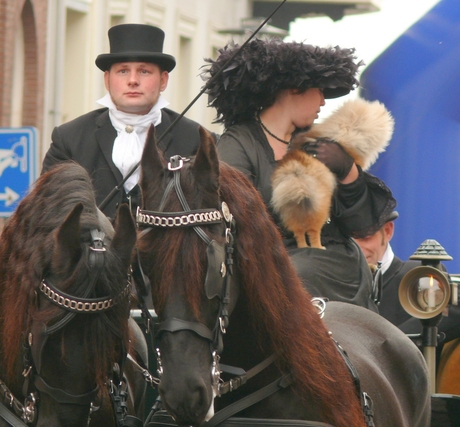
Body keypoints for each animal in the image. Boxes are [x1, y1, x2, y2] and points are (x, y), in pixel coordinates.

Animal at [272, 98, 394, 249]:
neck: (348, 126)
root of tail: (296, 173)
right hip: (320, 207)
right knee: (312, 231)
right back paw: (319, 247)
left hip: (290, 211)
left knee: (298, 232)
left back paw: (303, 247)